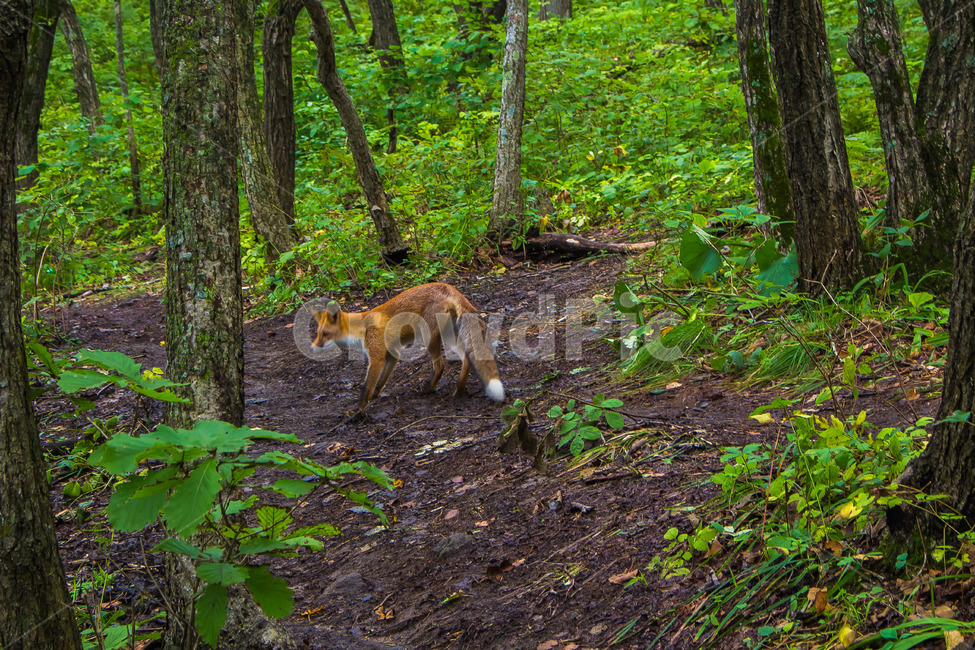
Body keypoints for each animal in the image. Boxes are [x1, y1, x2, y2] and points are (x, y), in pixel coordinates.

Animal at [312, 283, 505, 411]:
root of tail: (448, 286)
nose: (313, 347)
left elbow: (366, 385)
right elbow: (380, 382)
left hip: (430, 338)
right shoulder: (392, 353)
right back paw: (459, 390)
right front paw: (375, 397)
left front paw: (359, 411)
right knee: (466, 357)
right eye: (318, 333)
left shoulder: (377, 357)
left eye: (325, 334)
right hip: (449, 336)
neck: (361, 329)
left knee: (440, 365)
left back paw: (429, 389)